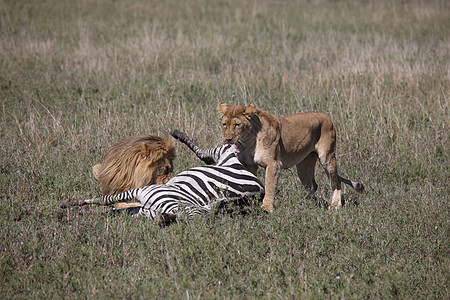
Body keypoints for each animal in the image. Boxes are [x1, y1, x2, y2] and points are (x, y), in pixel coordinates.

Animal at [59, 131, 264, 225]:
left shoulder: (139, 199)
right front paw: (72, 208)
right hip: (225, 157)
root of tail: (258, 185)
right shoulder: (138, 198)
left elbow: (108, 203)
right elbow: (108, 203)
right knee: (208, 154)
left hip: (226, 158)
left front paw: (71, 208)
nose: (165, 219)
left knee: (208, 154)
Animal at [218, 103, 366, 213]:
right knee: (313, 185)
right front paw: (248, 203)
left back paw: (335, 205)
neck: (248, 140)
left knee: (336, 181)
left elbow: (270, 185)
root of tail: (326, 116)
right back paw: (307, 204)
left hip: (327, 157)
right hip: (303, 166)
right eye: (224, 124)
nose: (227, 139)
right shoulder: (248, 164)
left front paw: (266, 208)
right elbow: (248, 182)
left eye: (237, 125)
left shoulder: (273, 164)